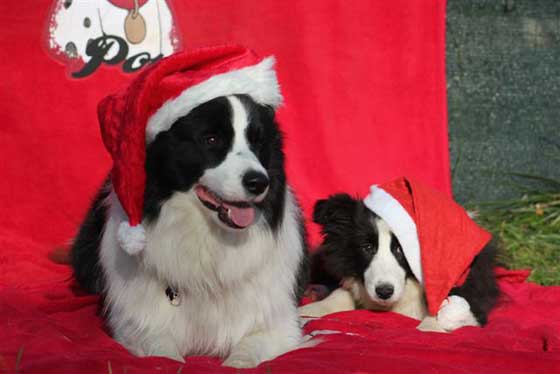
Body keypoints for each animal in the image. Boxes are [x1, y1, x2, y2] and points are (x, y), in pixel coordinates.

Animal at [71, 94, 308, 368]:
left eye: (257, 142)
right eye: (211, 139)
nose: (259, 182)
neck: (208, 240)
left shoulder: (279, 324)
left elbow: (246, 352)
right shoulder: (136, 323)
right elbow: (162, 353)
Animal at [302, 194, 498, 332]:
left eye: (401, 249)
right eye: (367, 247)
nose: (384, 292)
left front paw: (431, 328)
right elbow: (341, 293)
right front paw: (311, 310)